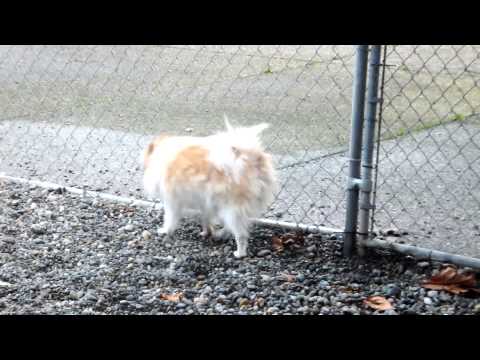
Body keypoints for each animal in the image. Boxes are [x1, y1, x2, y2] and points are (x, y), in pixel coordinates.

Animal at [142, 116, 276, 258]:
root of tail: (252, 159)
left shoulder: (172, 201)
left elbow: (170, 218)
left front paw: (165, 230)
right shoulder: (205, 202)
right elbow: (206, 218)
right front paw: (206, 232)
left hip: (231, 208)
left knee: (241, 234)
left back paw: (239, 253)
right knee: (232, 226)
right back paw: (220, 234)